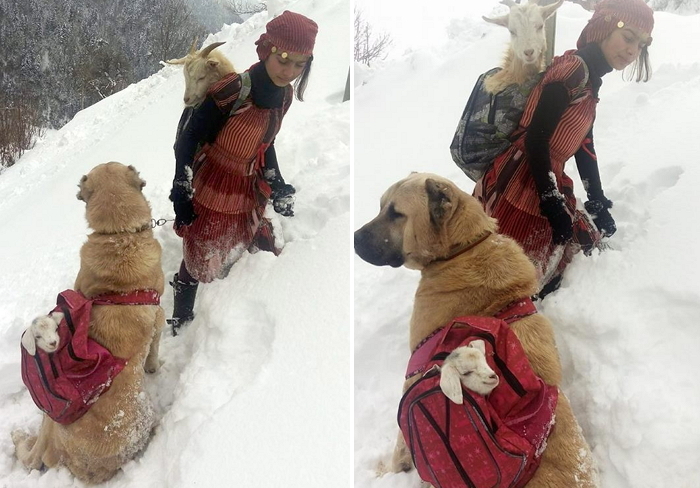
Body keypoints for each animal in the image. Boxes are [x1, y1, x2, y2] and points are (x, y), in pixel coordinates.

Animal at [12, 162, 165, 482]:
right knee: (32, 458)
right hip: (52, 422)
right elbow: (155, 349)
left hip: (52, 419)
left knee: (34, 457)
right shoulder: (159, 316)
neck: (119, 236)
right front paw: (154, 366)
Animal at [358, 173, 600, 488]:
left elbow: (400, 446)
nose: (354, 239)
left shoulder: (414, 377)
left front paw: (385, 471)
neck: (464, 248)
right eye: (380, 206)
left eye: (396, 213)